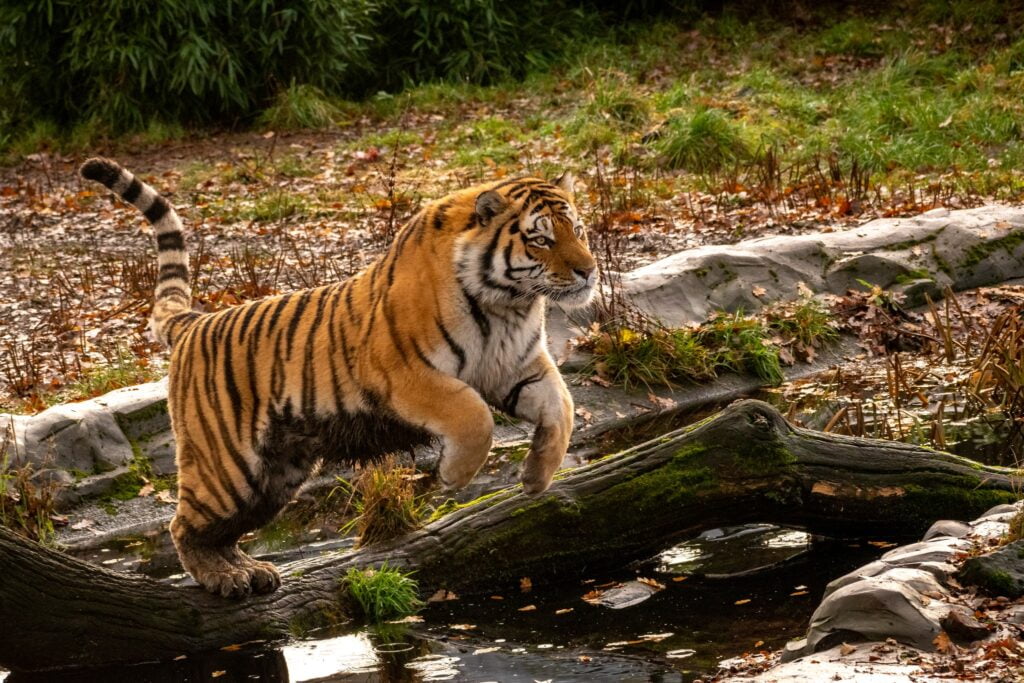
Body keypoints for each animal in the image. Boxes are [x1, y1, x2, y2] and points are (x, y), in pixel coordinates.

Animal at [79, 156, 598, 598]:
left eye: (578, 229)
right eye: (541, 239)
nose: (589, 272)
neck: (506, 305)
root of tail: (195, 322)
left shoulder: (519, 368)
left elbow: (564, 408)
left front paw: (536, 477)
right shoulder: (405, 373)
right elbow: (473, 415)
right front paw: (453, 476)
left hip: (273, 479)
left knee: (223, 530)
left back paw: (247, 571)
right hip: (226, 467)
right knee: (182, 526)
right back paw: (221, 578)